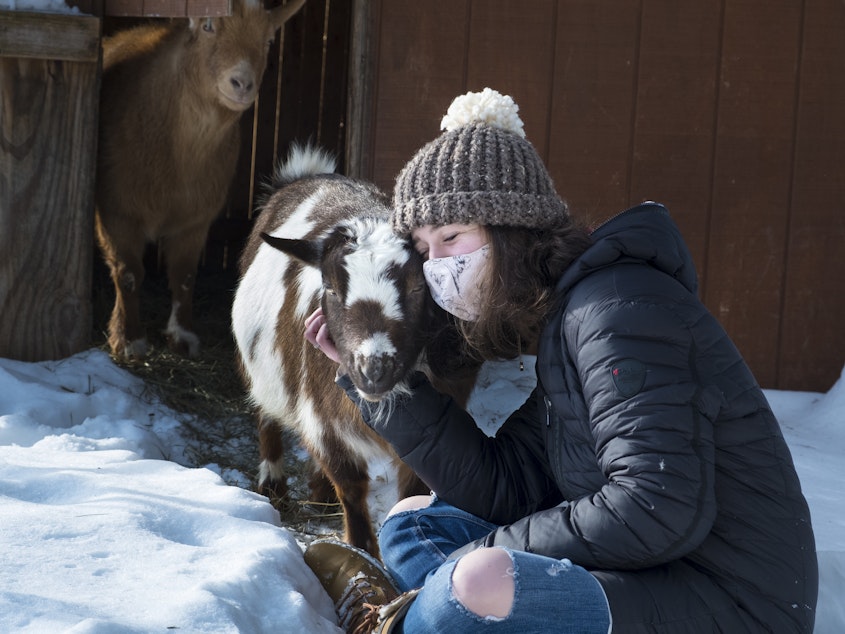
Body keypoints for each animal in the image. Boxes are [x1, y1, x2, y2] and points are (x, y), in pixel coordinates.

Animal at [96, 0, 306, 358]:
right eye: (208, 26)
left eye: (268, 40)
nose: (242, 83)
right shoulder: (117, 211)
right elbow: (128, 273)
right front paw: (129, 339)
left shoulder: (195, 219)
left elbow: (184, 275)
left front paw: (182, 335)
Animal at [234, 146, 478, 556]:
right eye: (330, 288)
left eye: (418, 288)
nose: (373, 370)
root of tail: (307, 175)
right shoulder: (321, 419)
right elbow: (351, 486)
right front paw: (362, 552)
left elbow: (412, 489)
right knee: (265, 412)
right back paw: (273, 485)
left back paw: (318, 495)